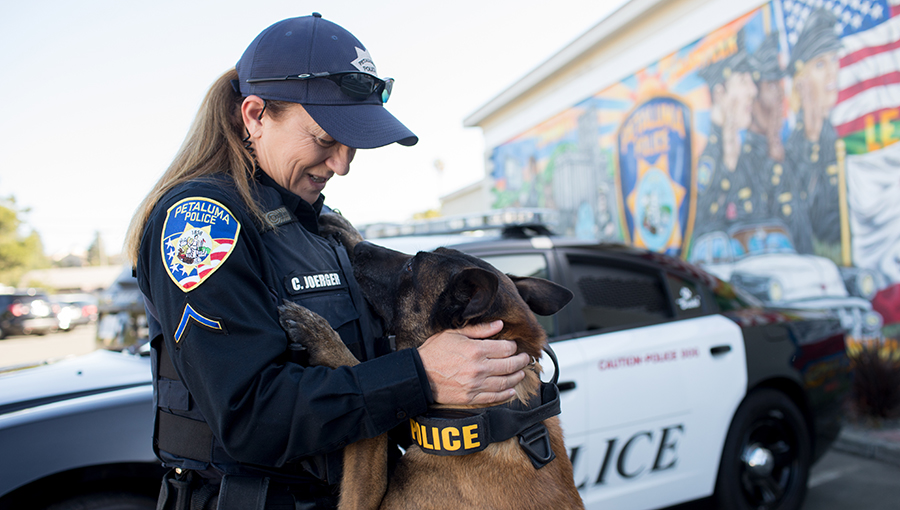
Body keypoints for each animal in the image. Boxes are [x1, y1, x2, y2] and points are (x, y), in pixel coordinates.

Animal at [282, 213, 588, 508]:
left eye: (410, 267)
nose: (359, 249)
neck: (490, 415)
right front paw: (345, 229)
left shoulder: (358, 501)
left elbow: (371, 418)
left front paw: (322, 337)